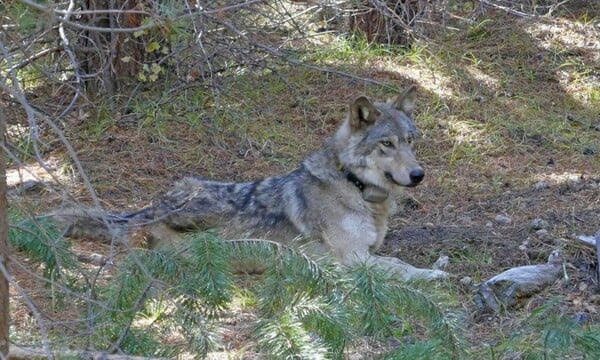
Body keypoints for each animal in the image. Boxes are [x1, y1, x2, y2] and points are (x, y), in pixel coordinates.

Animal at [55, 85, 446, 282]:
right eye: (387, 144)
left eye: (410, 140)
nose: (418, 174)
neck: (356, 187)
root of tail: (149, 209)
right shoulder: (353, 259)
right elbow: (400, 268)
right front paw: (433, 274)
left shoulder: (368, 250)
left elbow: (394, 259)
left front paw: (437, 264)